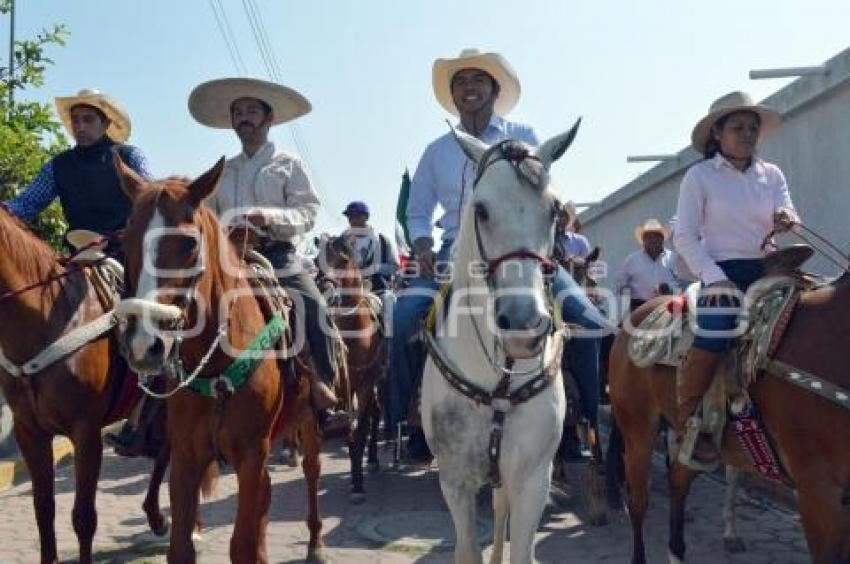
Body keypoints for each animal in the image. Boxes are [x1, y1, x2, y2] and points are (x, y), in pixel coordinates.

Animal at [115, 156, 332, 560]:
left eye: (188, 243)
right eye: (124, 239)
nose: (143, 344)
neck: (216, 367)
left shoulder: (250, 454)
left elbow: (242, 546)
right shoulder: (186, 456)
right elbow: (181, 547)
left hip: (308, 420)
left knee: (312, 470)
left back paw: (315, 543)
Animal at [420, 120, 580, 564]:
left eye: (554, 210)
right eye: (481, 209)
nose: (522, 325)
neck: (499, 382)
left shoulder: (533, 478)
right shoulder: (454, 481)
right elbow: (466, 551)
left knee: (500, 505)